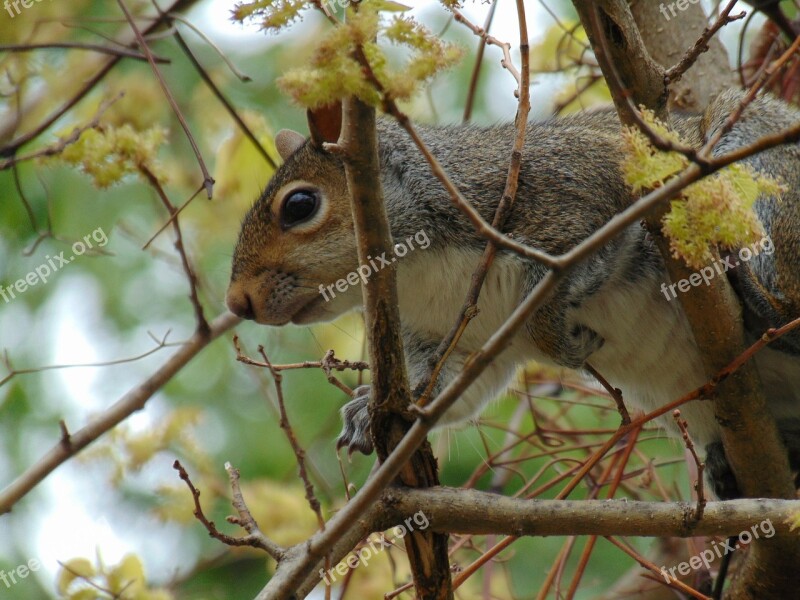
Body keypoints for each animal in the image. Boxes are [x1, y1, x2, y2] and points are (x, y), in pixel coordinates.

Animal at [225, 89, 800, 500]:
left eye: (300, 205)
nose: (237, 303)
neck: (419, 271)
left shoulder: (586, 200)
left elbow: (554, 306)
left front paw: (567, 345)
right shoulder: (463, 338)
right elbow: (444, 392)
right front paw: (368, 410)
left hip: (761, 175)